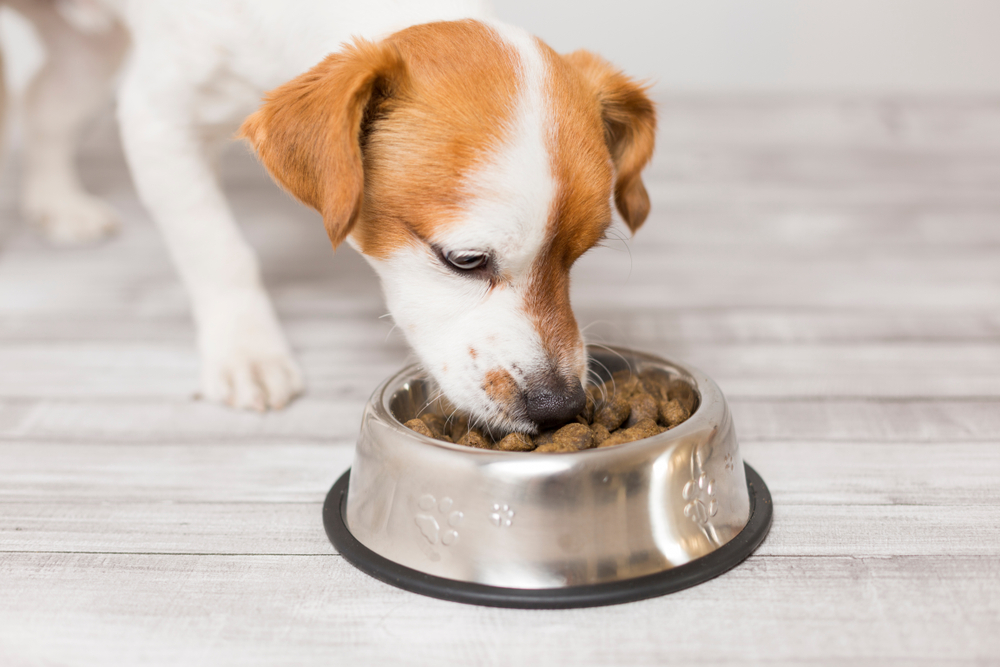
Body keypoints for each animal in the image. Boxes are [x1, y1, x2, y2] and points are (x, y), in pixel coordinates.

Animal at [11, 0, 656, 434]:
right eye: (465, 259)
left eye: (579, 256)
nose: (559, 408)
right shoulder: (156, 120)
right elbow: (218, 251)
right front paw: (247, 351)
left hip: (89, 53)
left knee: (44, 102)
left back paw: (60, 203)